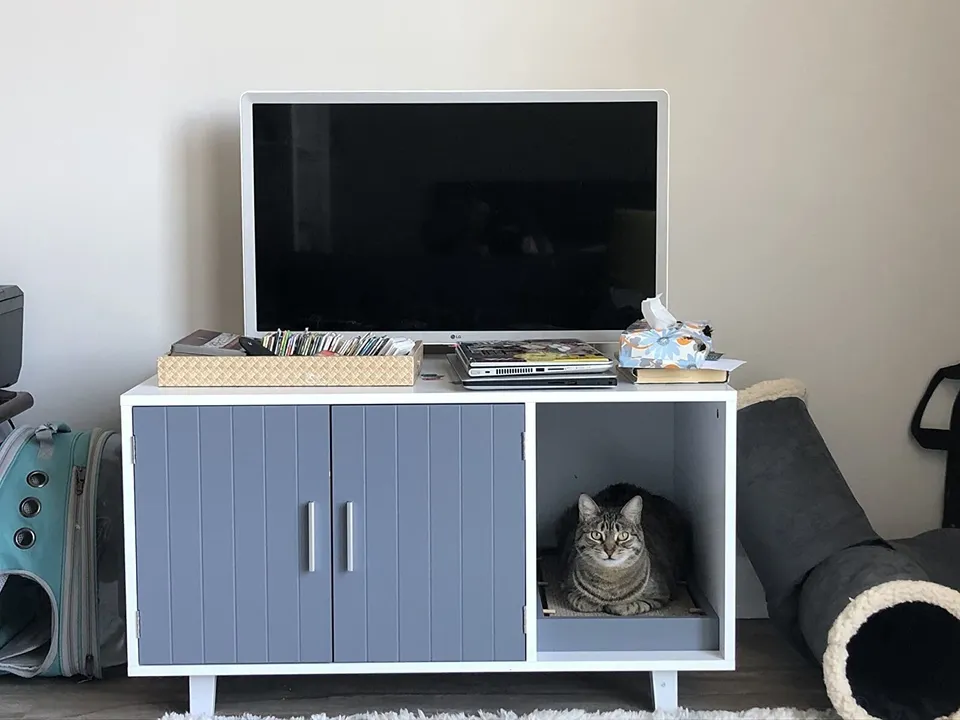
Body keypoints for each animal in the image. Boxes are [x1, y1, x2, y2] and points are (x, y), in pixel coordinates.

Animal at [556, 484, 688, 612]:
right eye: (596, 535)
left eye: (623, 536)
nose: (609, 551)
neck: (609, 582)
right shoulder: (567, 586)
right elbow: (579, 601)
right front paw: (591, 603)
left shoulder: (661, 594)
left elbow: (630, 606)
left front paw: (614, 606)